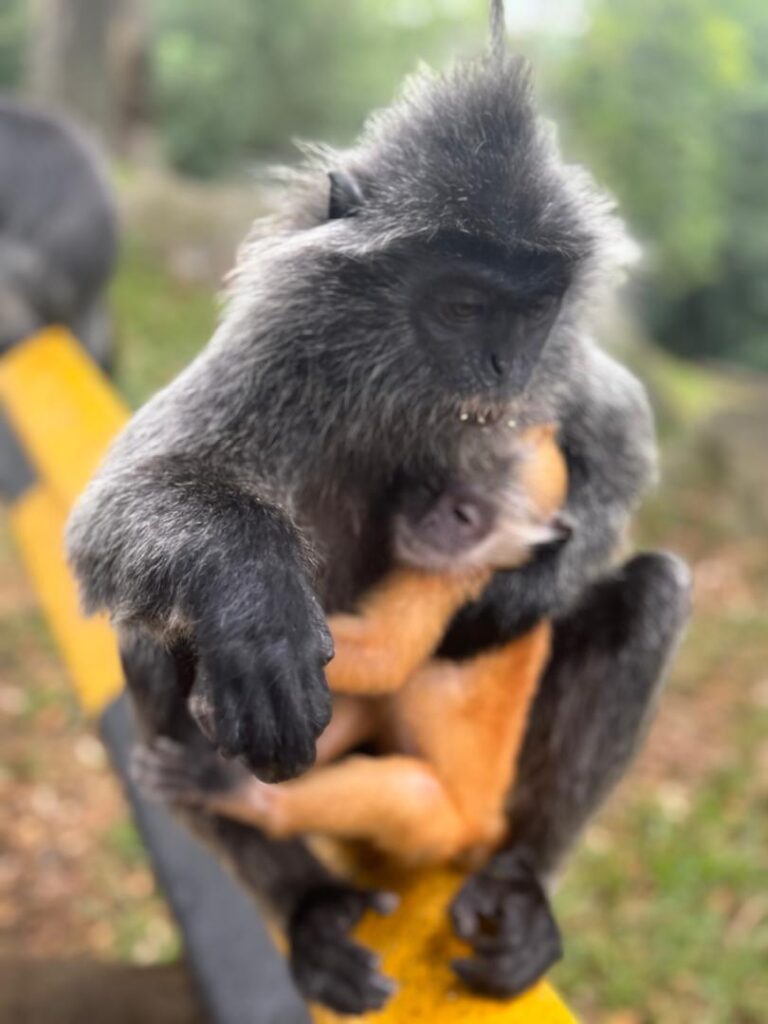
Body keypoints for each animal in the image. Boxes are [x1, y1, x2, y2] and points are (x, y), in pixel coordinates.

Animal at [135, 423, 573, 864]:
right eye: (433, 486)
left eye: (462, 516)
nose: (427, 519)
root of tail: (487, 824)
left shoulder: (451, 581)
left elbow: (386, 661)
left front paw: (241, 648)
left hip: (450, 831)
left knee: (413, 792)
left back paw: (246, 797)